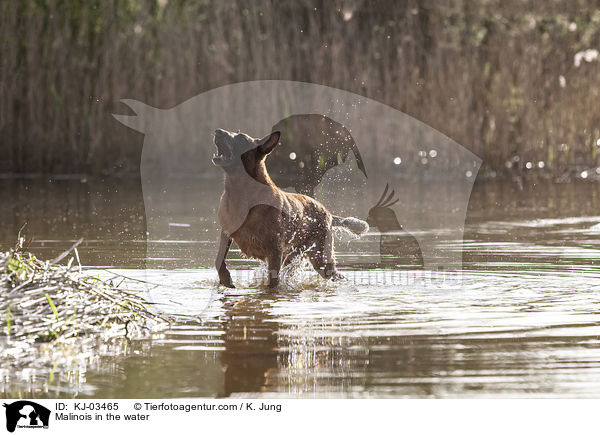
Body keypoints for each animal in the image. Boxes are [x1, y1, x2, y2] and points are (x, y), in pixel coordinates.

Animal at [211, 127, 370, 288]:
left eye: (241, 139)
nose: (217, 131)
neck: (241, 193)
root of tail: (328, 213)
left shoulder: (275, 251)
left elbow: (273, 282)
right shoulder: (226, 233)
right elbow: (218, 260)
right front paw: (226, 279)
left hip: (320, 258)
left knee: (335, 274)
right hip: (293, 256)